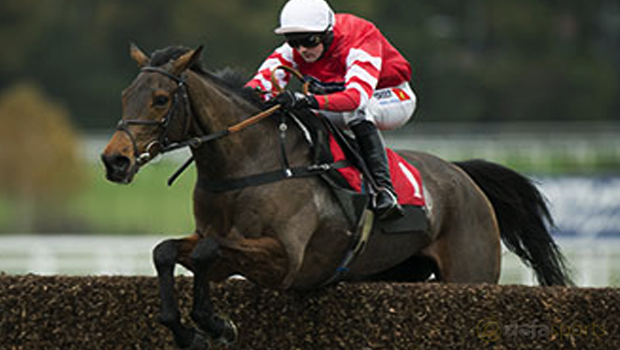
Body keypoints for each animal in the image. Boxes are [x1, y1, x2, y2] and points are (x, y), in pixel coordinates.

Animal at [100, 45, 572, 348]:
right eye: (125, 95)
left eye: (161, 99)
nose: (114, 160)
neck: (247, 164)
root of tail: (463, 175)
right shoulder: (216, 250)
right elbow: (167, 251)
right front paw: (187, 329)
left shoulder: (286, 261)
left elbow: (207, 251)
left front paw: (216, 324)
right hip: (395, 273)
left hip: (470, 277)